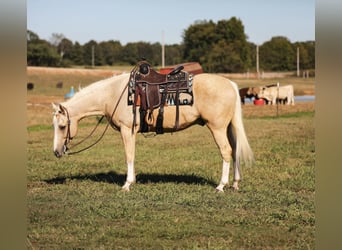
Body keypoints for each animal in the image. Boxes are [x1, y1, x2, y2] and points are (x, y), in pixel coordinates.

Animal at [51, 72, 254, 191]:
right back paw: (235, 183)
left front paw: (127, 184)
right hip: (228, 127)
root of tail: (231, 84)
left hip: (217, 127)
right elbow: (132, 155)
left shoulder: (127, 130)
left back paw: (221, 185)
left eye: (62, 126)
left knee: (226, 151)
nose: (57, 152)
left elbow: (129, 155)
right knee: (235, 151)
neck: (113, 94)